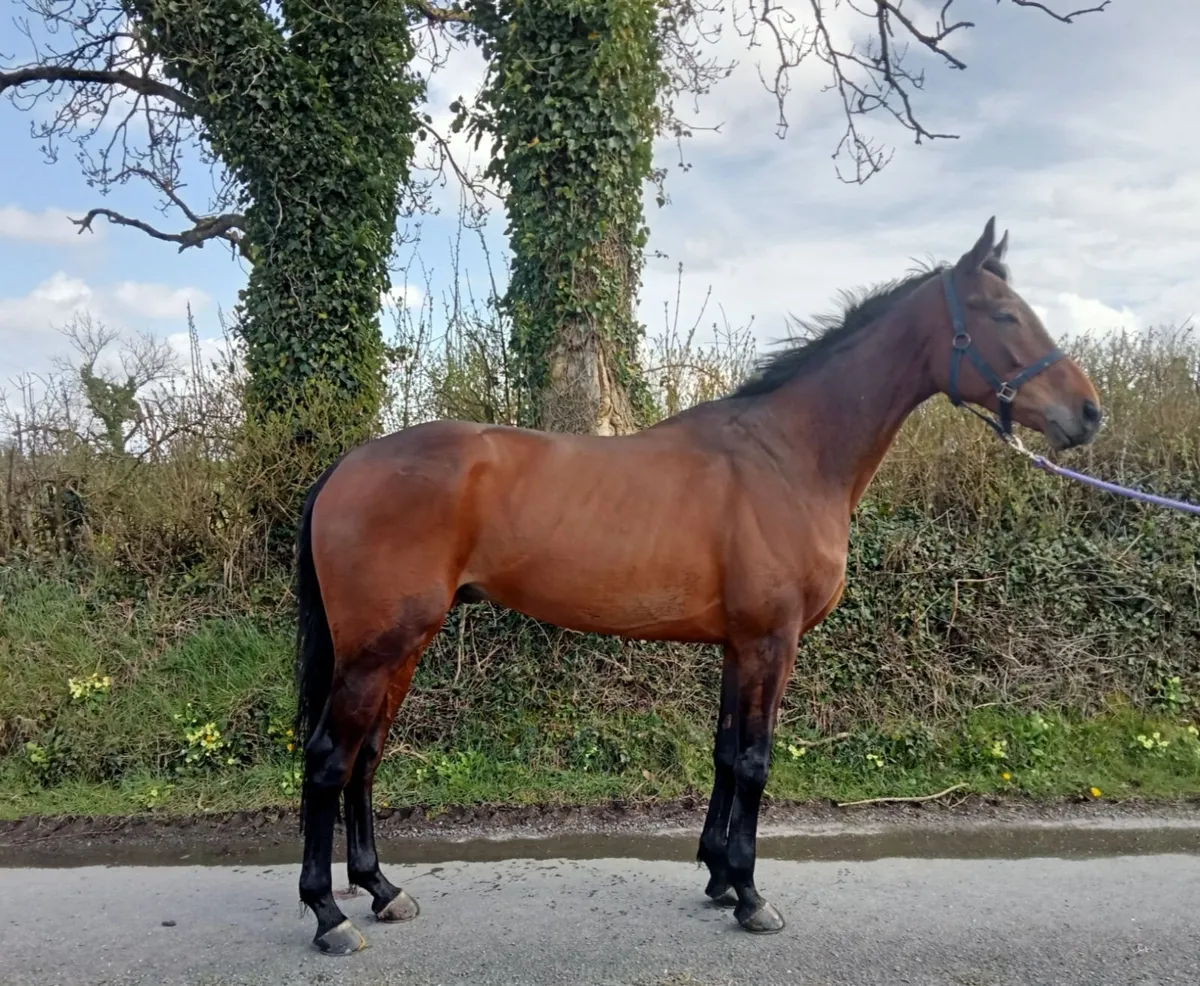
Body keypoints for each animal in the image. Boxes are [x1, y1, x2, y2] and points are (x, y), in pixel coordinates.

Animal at [292, 217, 1103, 954]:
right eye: (1004, 313)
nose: (1089, 414)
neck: (790, 456)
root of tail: (349, 464)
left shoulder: (738, 646)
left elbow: (723, 752)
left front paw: (716, 877)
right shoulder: (772, 642)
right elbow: (755, 760)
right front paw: (750, 894)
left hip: (402, 646)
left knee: (367, 756)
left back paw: (380, 889)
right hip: (377, 648)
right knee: (330, 758)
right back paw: (329, 916)